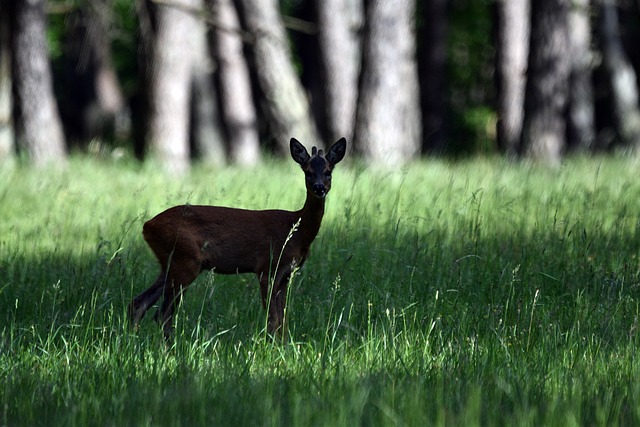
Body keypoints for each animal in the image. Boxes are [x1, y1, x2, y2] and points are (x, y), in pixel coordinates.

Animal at [126, 139, 344, 340]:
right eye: (307, 172)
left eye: (328, 172)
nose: (319, 188)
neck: (296, 231)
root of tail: (147, 226)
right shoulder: (266, 267)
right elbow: (272, 319)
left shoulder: (286, 274)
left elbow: (283, 320)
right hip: (185, 261)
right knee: (162, 315)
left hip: (170, 264)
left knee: (138, 304)